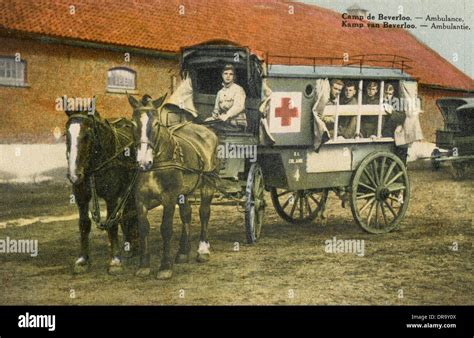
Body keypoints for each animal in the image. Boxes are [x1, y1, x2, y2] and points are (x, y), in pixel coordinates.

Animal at [65, 109, 139, 274]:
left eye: (87, 135)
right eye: (67, 135)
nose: (74, 175)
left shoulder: (111, 197)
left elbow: (112, 225)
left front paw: (115, 261)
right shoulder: (81, 197)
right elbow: (84, 224)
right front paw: (83, 260)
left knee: (130, 213)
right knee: (128, 214)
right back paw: (131, 244)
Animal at [129, 93, 219, 278]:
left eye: (156, 124)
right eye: (133, 124)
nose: (143, 162)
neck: (155, 165)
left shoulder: (169, 197)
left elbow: (166, 228)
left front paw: (165, 266)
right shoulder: (140, 198)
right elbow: (144, 228)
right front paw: (144, 265)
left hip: (208, 183)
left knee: (204, 212)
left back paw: (203, 250)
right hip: (185, 190)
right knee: (187, 214)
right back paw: (183, 251)